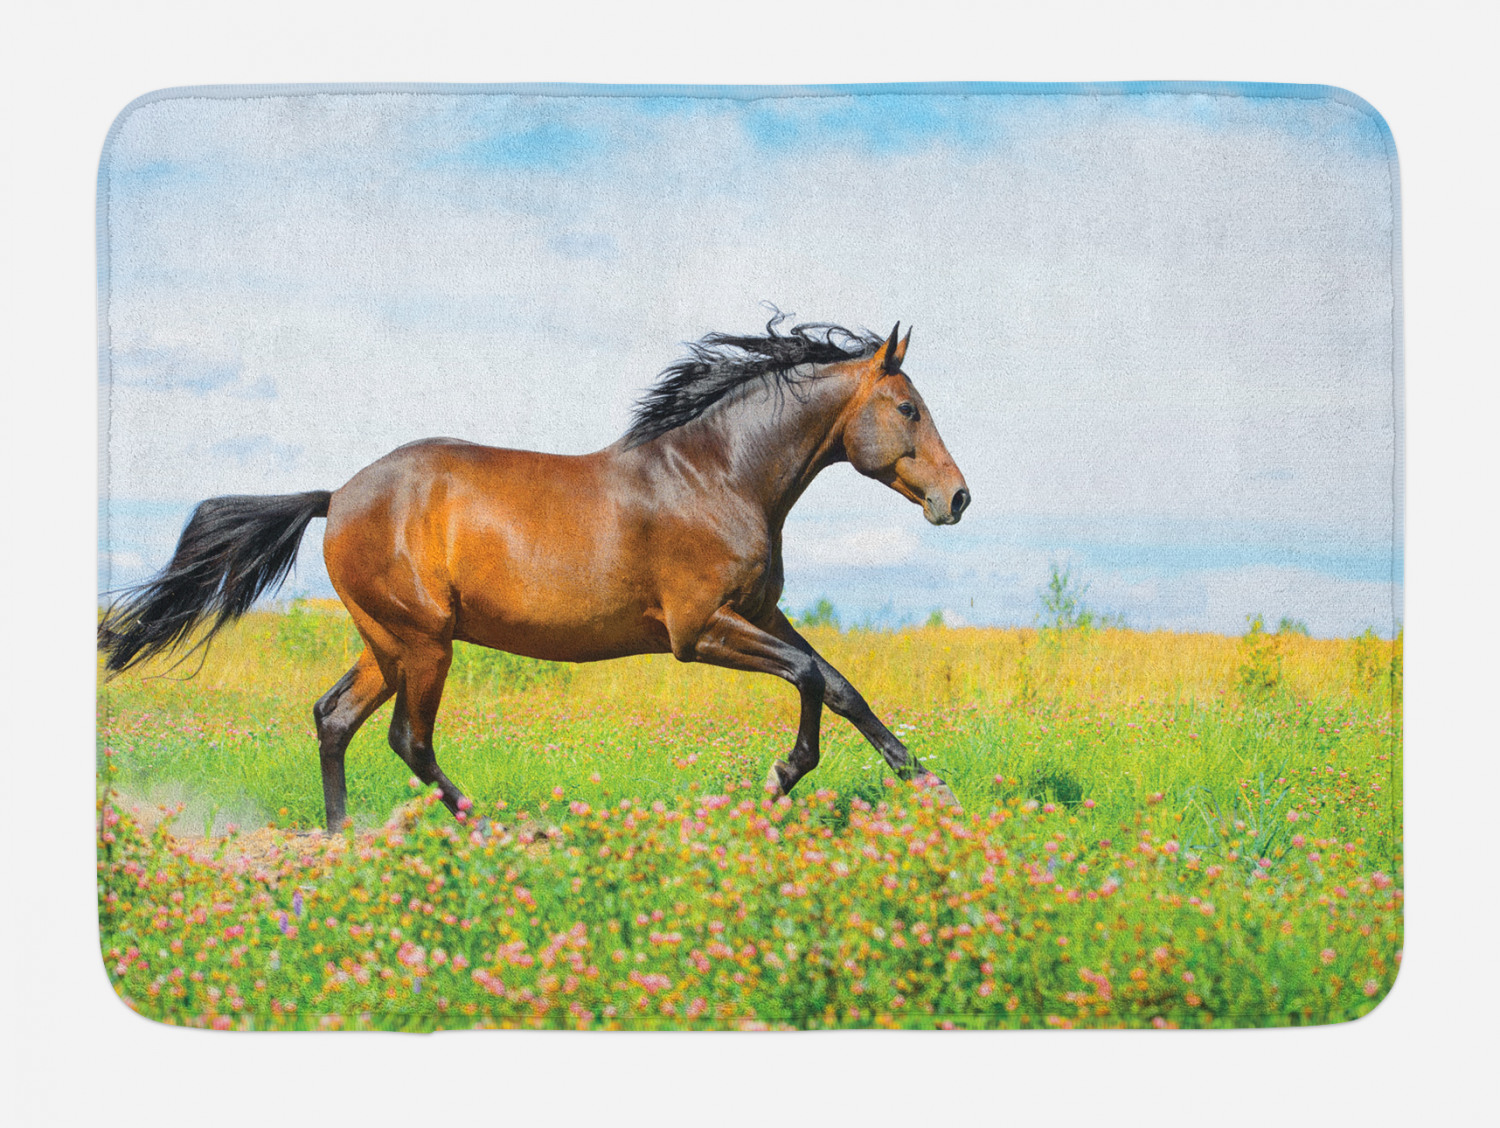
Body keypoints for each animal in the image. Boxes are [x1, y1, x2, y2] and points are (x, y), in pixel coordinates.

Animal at [98, 313, 971, 831]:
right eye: (908, 409)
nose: (957, 498)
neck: (718, 475)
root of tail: (338, 497)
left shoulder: (760, 613)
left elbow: (839, 684)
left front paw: (925, 783)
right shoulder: (700, 630)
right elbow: (810, 676)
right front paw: (783, 774)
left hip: (387, 642)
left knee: (334, 717)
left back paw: (342, 837)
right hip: (425, 644)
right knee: (408, 740)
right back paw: (486, 826)